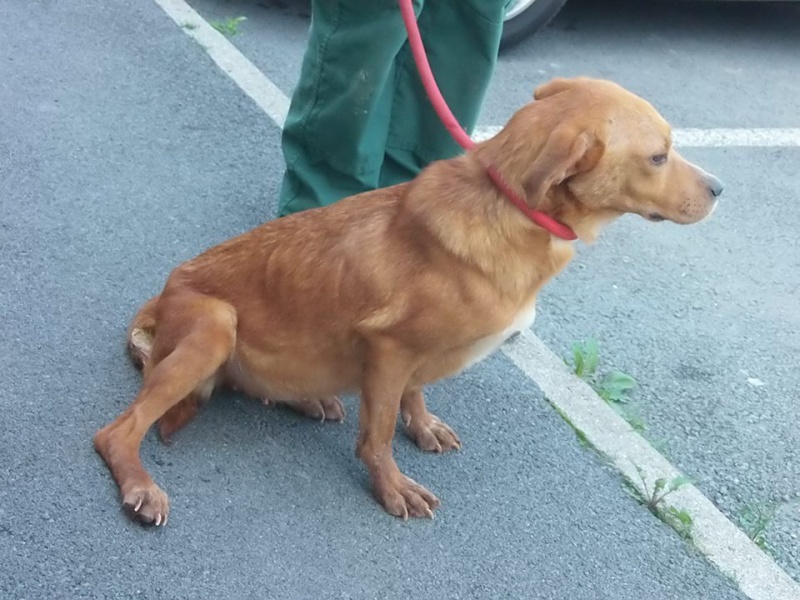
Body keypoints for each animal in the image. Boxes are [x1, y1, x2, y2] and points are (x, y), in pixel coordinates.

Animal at [95, 77, 724, 524]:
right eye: (659, 156)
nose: (721, 189)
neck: (509, 209)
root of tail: (160, 296)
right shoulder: (388, 348)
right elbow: (375, 438)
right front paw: (391, 485)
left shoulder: (414, 356)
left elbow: (413, 395)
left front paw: (420, 426)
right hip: (214, 325)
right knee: (116, 432)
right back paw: (141, 485)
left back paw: (307, 398)